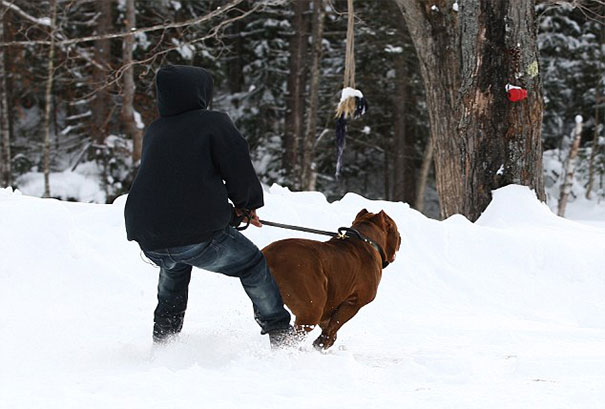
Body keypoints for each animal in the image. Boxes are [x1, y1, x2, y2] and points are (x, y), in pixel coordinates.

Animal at [262, 210, 398, 348]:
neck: (366, 239)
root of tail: (270, 255)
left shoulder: (330, 304)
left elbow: (328, 324)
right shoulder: (354, 303)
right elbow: (335, 323)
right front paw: (323, 343)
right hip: (310, 310)